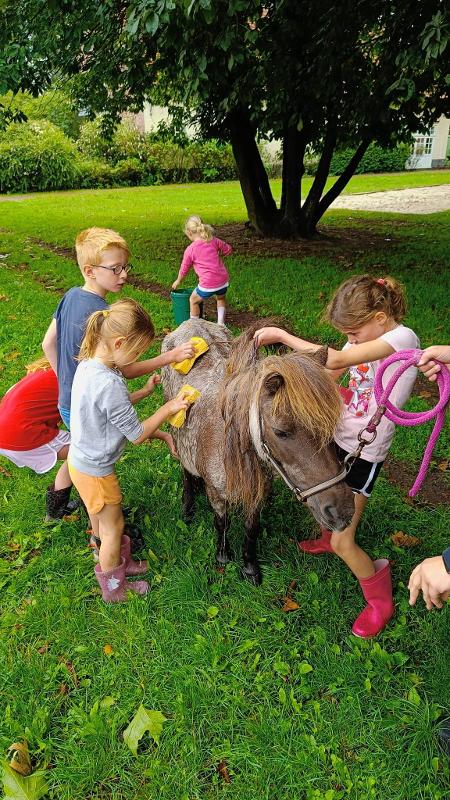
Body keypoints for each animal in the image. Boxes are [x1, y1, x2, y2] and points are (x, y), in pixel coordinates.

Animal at [162, 320, 356, 588]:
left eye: (333, 424)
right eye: (281, 431)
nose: (342, 512)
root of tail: (190, 323)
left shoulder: (257, 496)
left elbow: (251, 528)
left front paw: (249, 567)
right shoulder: (216, 495)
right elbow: (221, 523)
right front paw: (223, 557)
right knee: (185, 468)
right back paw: (188, 506)